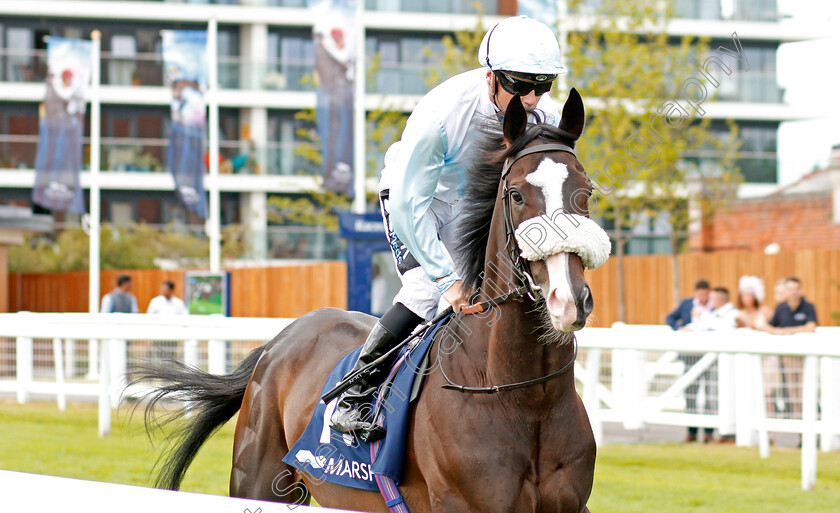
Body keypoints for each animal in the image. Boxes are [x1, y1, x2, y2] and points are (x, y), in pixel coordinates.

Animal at [139, 89, 612, 512]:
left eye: (585, 191)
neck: (523, 396)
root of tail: (278, 343)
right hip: (258, 480)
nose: (568, 299)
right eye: (516, 194)